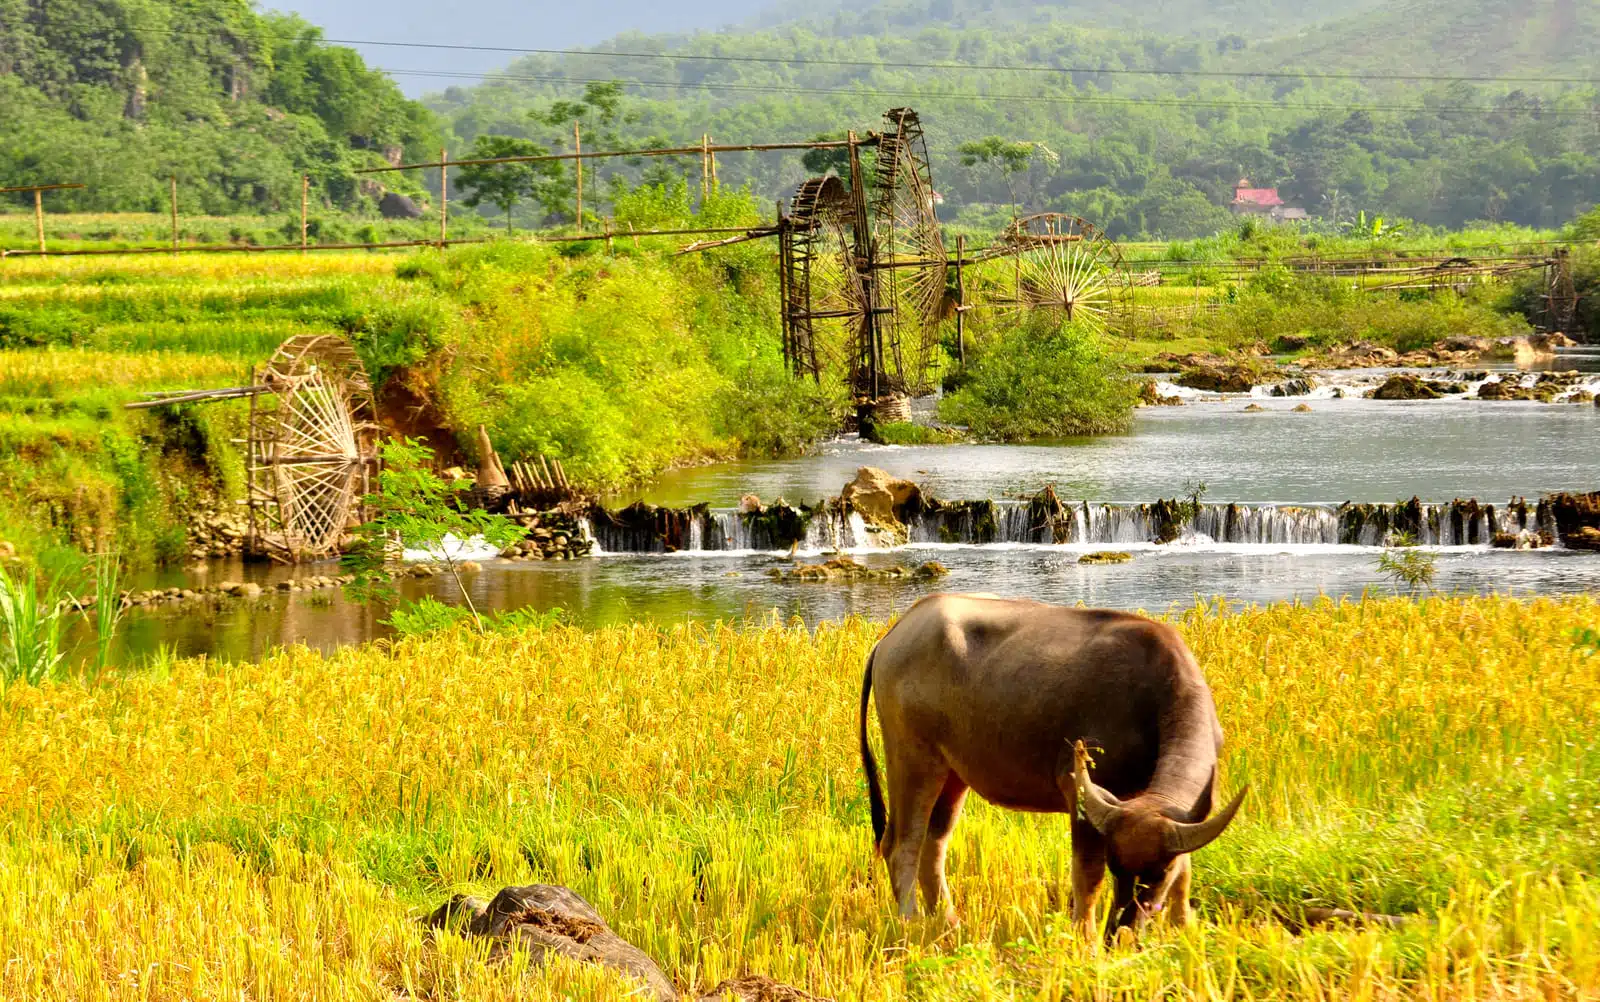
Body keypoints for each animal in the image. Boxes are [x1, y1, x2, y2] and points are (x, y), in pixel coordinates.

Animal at [858, 593, 1246, 940]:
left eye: (1159, 873)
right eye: (1115, 865)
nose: (1119, 932)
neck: (1153, 702)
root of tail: (894, 634)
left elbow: (1186, 873)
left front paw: (1184, 929)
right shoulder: (1081, 793)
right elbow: (1087, 877)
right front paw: (1086, 939)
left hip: (952, 775)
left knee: (933, 845)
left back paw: (949, 922)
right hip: (913, 760)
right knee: (901, 845)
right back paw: (910, 925)